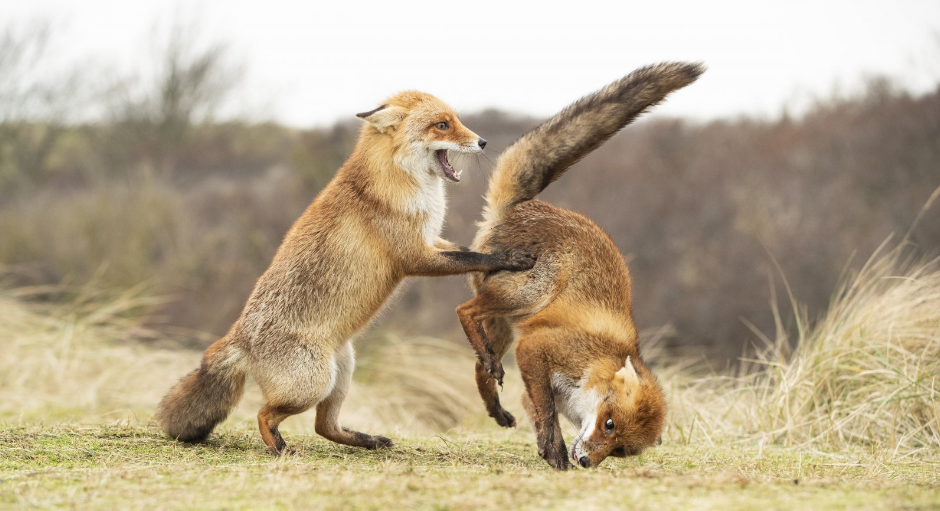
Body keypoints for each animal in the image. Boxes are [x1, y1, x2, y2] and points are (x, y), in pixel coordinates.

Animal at [157, 92, 532, 456]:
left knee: (324, 426)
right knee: (264, 415)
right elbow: (472, 256)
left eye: (456, 120)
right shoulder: (414, 256)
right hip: (312, 384)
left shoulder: (430, 240)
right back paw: (280, 448)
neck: (400, 182)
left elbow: (464, 250)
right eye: (442, 125)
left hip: (343, 371)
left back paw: (369, 441)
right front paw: (509, 258)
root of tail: (238, 336)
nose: (482, 141)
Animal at [456, 62, 704, 470]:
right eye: (608, 424)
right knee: (464, 311)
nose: (587, 462)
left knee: (479, 366)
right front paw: (556, 452)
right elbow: (546, 411)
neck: (597, 362)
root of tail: (522, 206)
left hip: (506, 325)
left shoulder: (534, 374)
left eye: (619, 449)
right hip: (527, 294)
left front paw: (547, 449)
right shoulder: (536, 349)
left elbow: (536, 411)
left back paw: (496, 406)